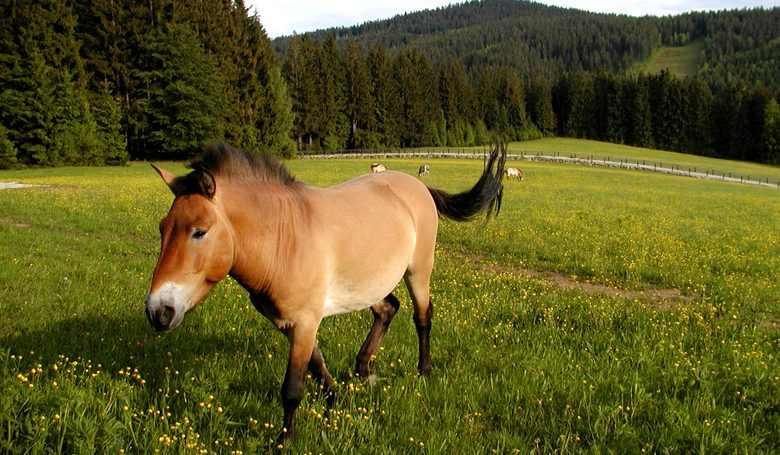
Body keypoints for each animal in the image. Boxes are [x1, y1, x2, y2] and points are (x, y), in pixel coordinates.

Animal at [145, 143, 506, 446]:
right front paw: (336, 398)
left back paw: (424, 372)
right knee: (388, 309)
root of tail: (416, 185)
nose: (158, 310)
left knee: (422, 317)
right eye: (162, 228)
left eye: (199, 232)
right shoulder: (291, 321)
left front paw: (285, 441)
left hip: (418, 271)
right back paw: (365, 371)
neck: (283, 237)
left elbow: (293, 387)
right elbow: (316, 364)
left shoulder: (305, 320)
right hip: (368, 284)